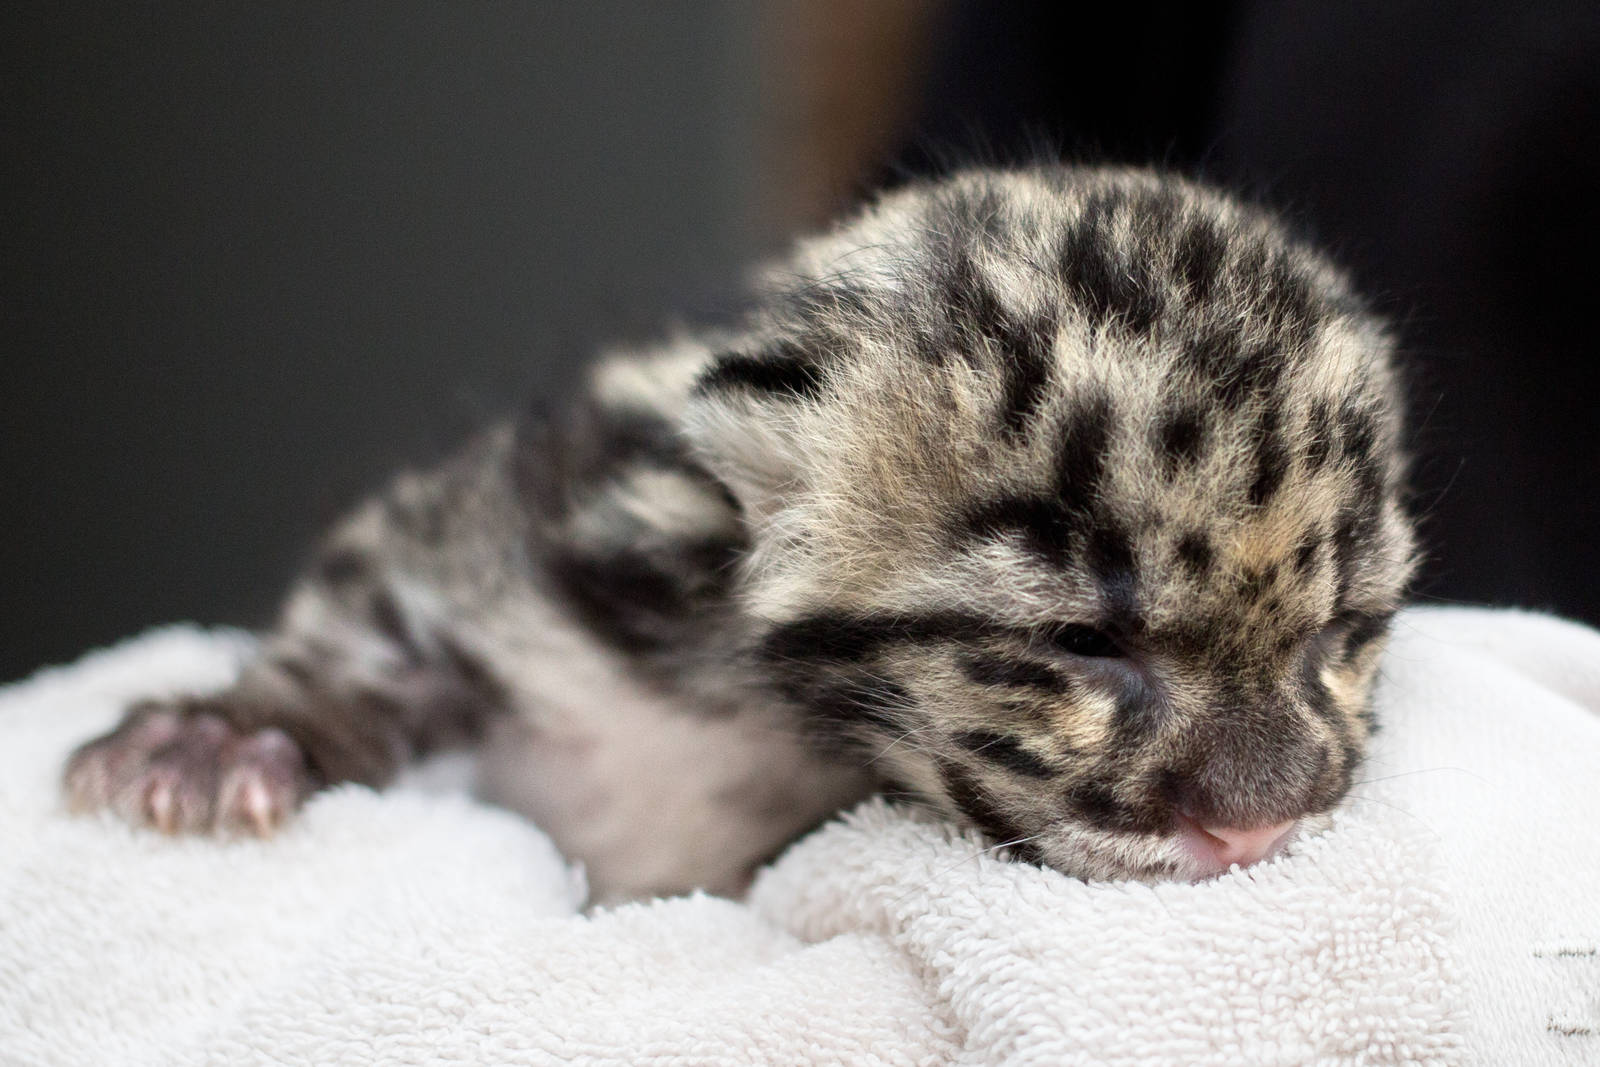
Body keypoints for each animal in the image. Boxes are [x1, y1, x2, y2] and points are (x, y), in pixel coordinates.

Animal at [63, 164, 1416, 900]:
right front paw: (218, 735)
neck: (738, 699)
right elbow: (368, 612)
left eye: (1339, 634)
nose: (1257, 824)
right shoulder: (514, 520)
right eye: (1083, 641)